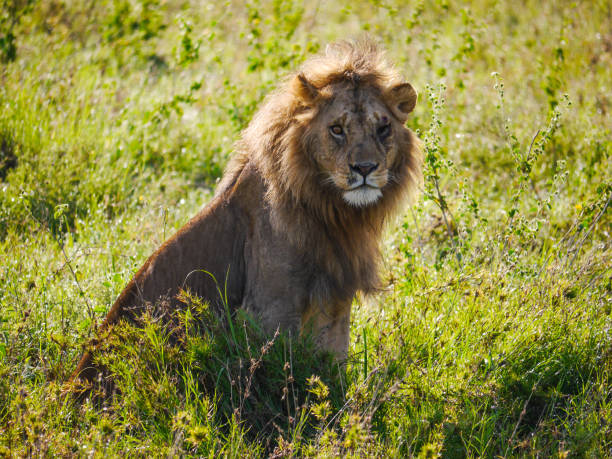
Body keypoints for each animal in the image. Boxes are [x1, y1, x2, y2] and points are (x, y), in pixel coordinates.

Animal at [70, 39, 420, 384]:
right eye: (336, 129)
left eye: (383, 128)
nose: (365, 168)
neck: (332, 211)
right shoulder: (270, 309)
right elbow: (284, 378)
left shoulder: (334, 303)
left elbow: (334, 371)